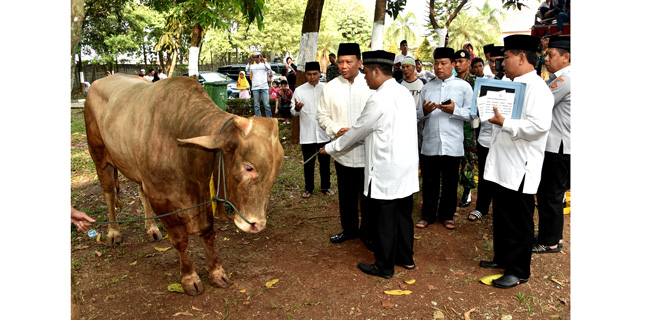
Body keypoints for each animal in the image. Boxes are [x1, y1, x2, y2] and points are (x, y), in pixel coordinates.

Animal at [83, 74, 280, 296]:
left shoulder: (202, 194)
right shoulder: (161, 199)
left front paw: (216, 272)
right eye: (248, 167)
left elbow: (208, 232)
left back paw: (151, 229)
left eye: (276, 170)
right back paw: (113, 232)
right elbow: (180, 239)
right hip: (100, 157)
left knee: (141, 193)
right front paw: (189, 277)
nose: (257, 224)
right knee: (109, 194)